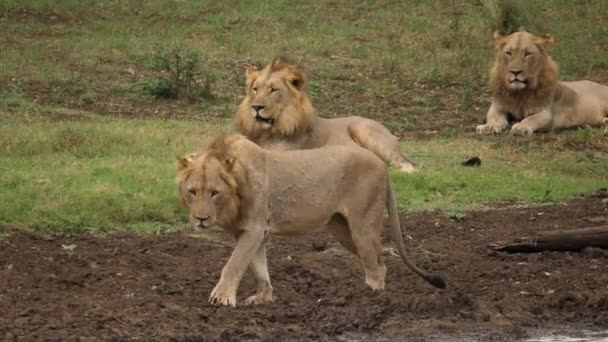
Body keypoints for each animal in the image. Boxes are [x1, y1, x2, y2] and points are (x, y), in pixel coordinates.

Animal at [176, 134, 442, 308]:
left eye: (214, 192)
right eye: (192, 192)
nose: (201, 219)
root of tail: (382, 165)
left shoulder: (254, 228)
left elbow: (233, 264)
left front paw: (222, 298)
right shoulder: (252, 233)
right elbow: (258, 267)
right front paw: (263, 298)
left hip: (363, 225)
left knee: (376, 267)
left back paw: (371, 299)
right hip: (341, 229)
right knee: (379, 262)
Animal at [233, 57, 418, 174]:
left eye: (273, 90)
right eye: (255, 89)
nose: (256, 107)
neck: (266, 132)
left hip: (365, 130)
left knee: (405, 165)